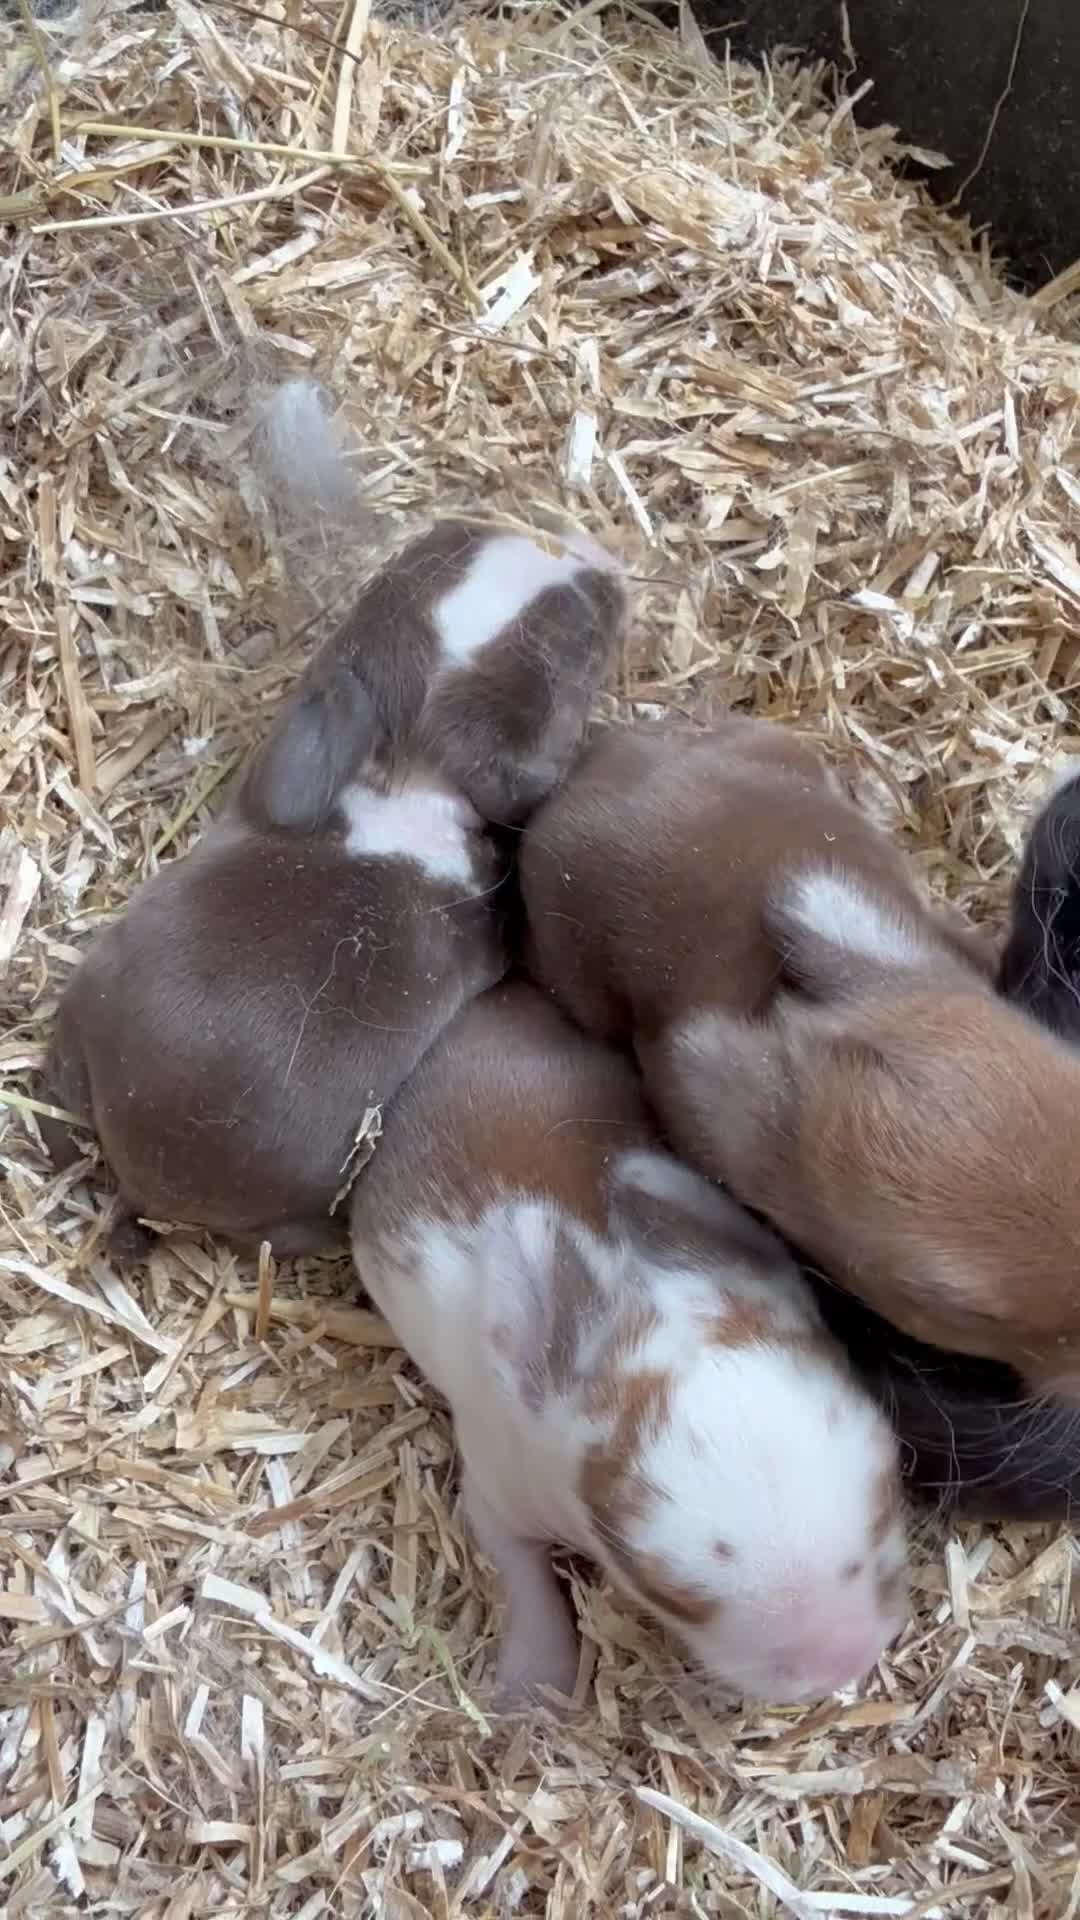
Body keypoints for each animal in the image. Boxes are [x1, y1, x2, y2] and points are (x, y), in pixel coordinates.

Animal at [349, 981, 908, 1712]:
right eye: (662, 1589)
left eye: (890, 1488)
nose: (842, 1661)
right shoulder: (496, 1492)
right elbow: (519, 1571)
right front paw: (532, 1692)